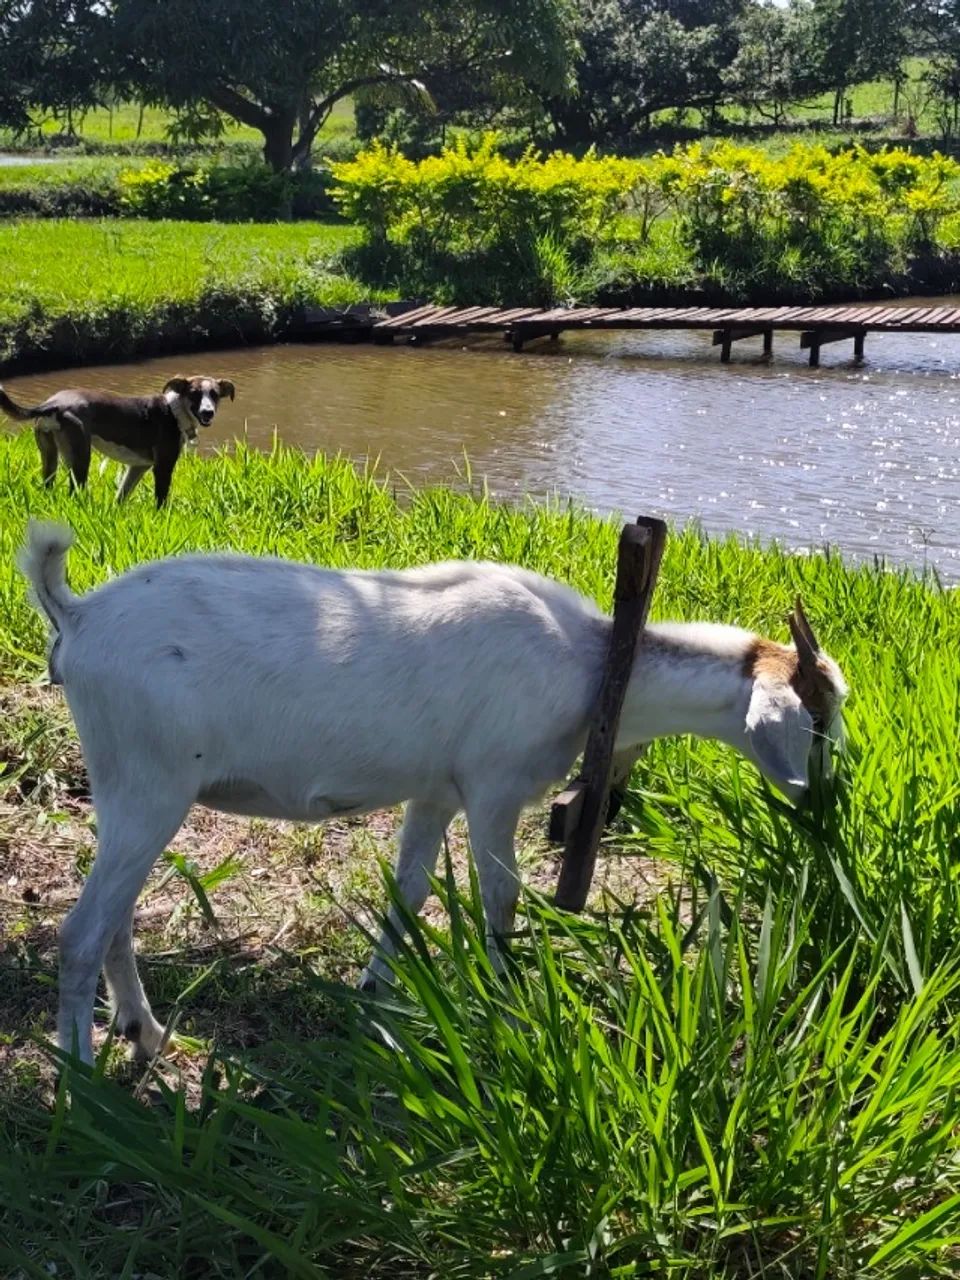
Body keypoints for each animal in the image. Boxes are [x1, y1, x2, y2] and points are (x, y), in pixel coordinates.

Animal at [18, 521, 848, 1065]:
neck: (590, 662)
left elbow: (409, 890)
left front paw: (375, 995)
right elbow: (501, 894)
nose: (827, 805)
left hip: (130, 787)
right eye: (818, 718)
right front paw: (506, 1005)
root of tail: (77, 614)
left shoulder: (436, 792)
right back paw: (82, 1078)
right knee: (82, 931)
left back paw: (147, 1033)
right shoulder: (494, 785)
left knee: (116, 918)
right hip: (151, 782)